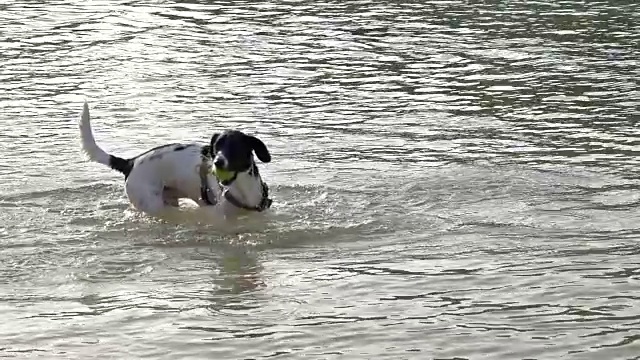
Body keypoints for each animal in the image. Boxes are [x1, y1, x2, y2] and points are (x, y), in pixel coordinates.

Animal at [78, 102, 272, 218]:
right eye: (216, 148)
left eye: (234, 147)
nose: (217, 162)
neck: (242, 188)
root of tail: (131, 162)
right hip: (152, 204)